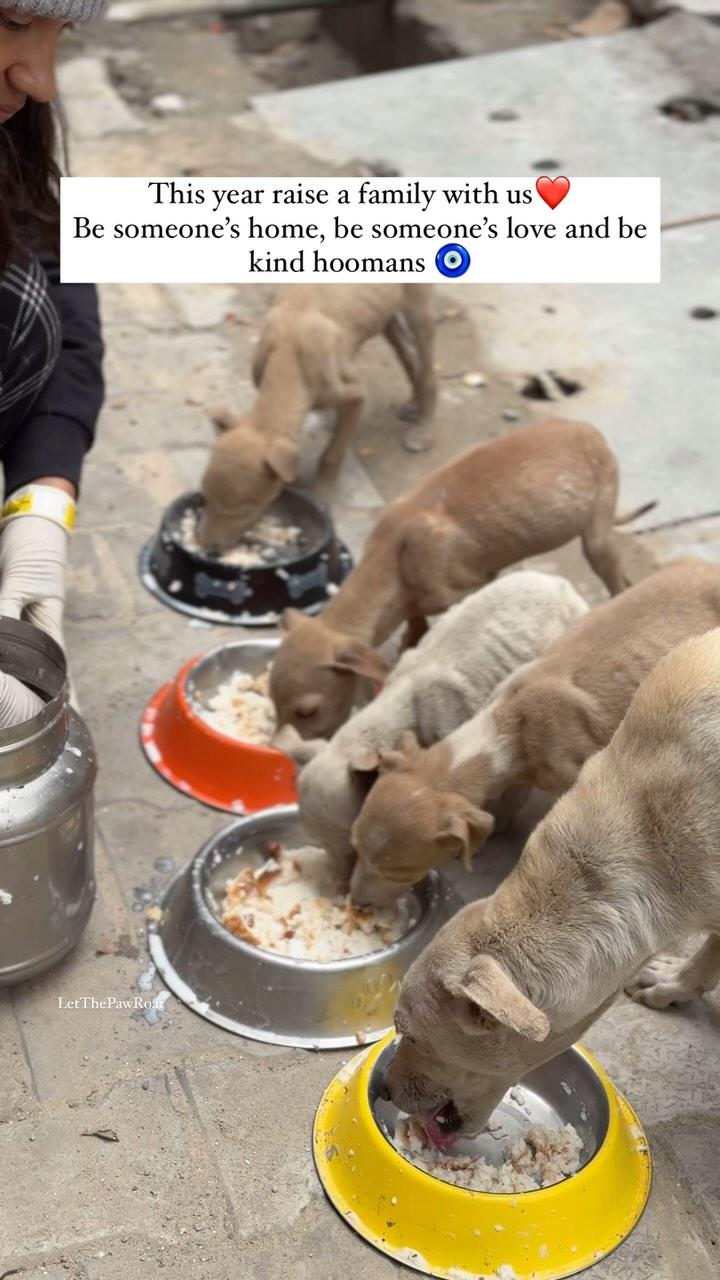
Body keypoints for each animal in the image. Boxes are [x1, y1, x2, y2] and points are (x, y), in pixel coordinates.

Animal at [193, 285, 435, 550]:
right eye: (205, 494)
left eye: (245, 508)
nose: (205, 544)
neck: (288, 353)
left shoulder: (355, 396)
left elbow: (333, 454)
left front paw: (321, 496)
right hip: (386, 316)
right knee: (409, 354)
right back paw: (415, 404)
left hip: (418, 310)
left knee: (428, 370)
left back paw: (423, 428)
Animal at [267, 419, 650, 742]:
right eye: (271, 698)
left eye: (307, 710)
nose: (286, 753)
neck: (393, 556)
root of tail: (592, 432)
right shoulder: (418, 598)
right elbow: (414, 625)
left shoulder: (471, 584)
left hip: (598, 529)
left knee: (620, 582)